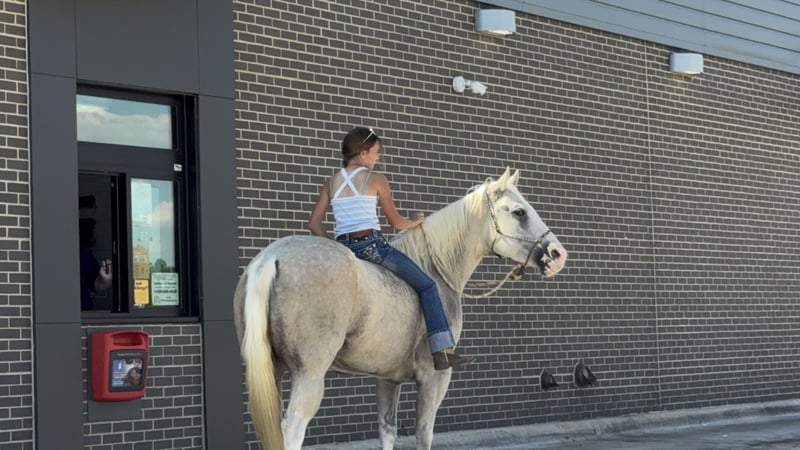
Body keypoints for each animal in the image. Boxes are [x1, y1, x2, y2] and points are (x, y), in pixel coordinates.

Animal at [233, 168, 568, 450]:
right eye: (519, 212)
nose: (557, 254)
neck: (434, 267)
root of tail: (271, 258)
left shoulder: (386, 380)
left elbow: (387, 431)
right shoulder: (434, 378)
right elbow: (424, 432)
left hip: (273, 372)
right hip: (309, 376)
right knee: (292, 429)